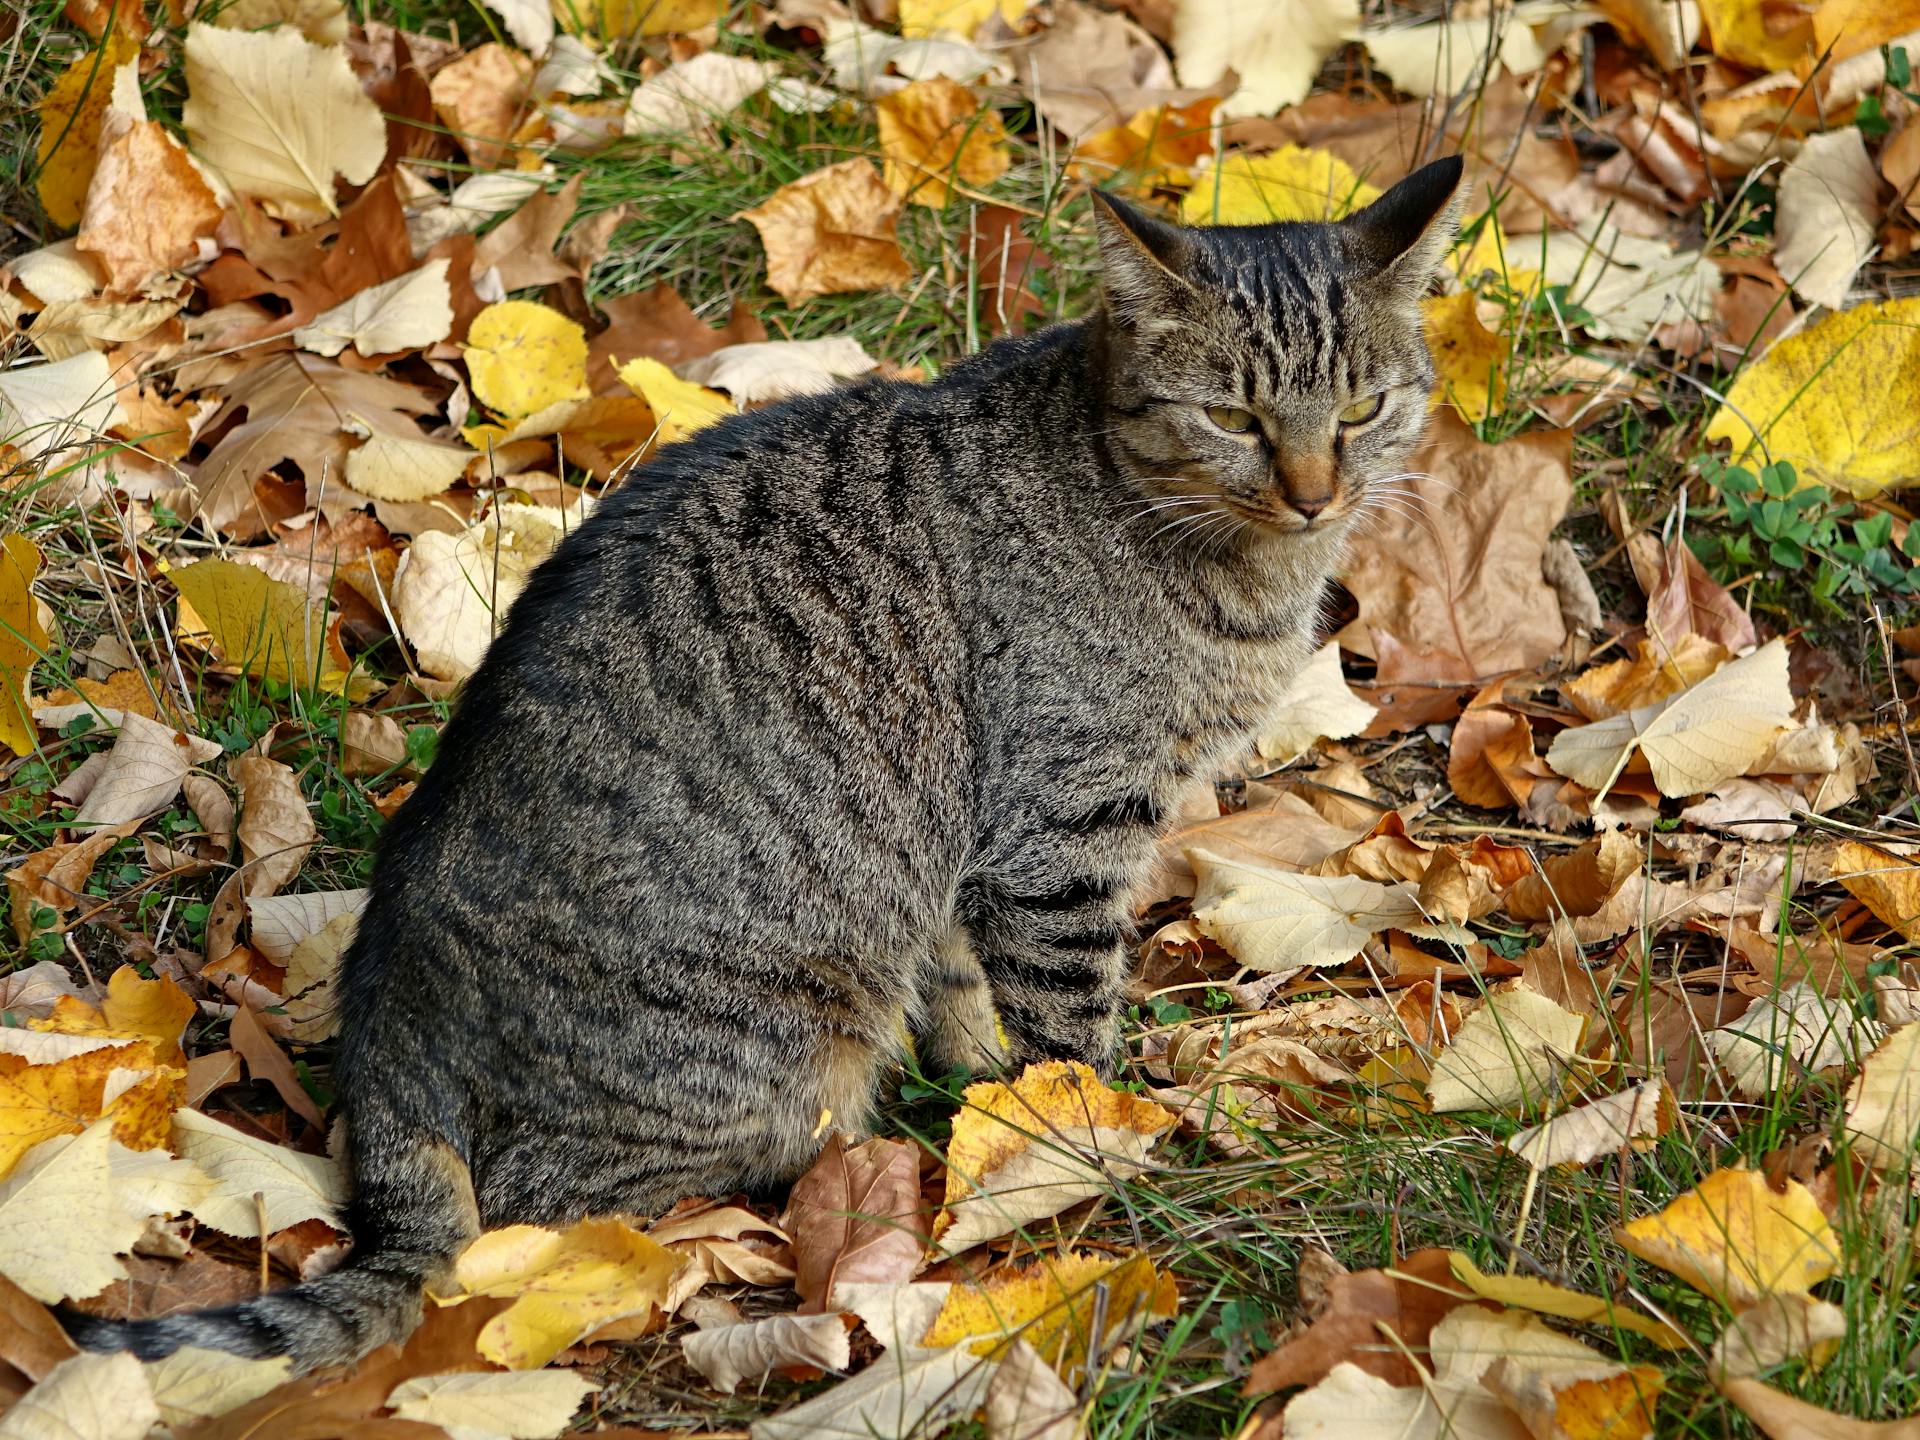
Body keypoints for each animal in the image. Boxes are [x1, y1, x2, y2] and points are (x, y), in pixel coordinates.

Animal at [67, 152, 1459, 1367]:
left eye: (1365, 407)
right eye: (1232, 415)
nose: (1316, 490)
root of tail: (382, 1035)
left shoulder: (967, 860)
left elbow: (973, 998)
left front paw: (993, 1096)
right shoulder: (1059, 826)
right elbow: (1075, 1026)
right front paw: (1106, 1141)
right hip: (773, 1043)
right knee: (529, 1212)